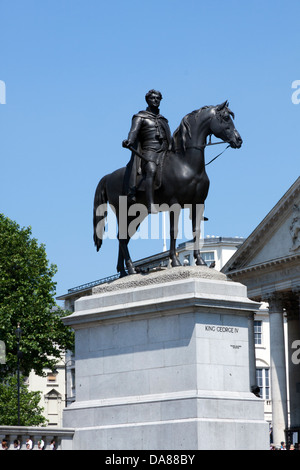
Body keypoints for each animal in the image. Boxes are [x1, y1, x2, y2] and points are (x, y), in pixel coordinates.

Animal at [92, 99, 243, 276]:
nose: (239, 140)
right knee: (122, 238)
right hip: (123, 212)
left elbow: (196, 231)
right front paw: (176, 261)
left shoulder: (198, 204)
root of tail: (109, 176)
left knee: (124, 237)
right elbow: (173, 231)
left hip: (136, 214)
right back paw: (130, 268)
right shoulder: (174, 204)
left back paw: (124, 272)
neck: (186, 164)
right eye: (226, 118)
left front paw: (200, 261)